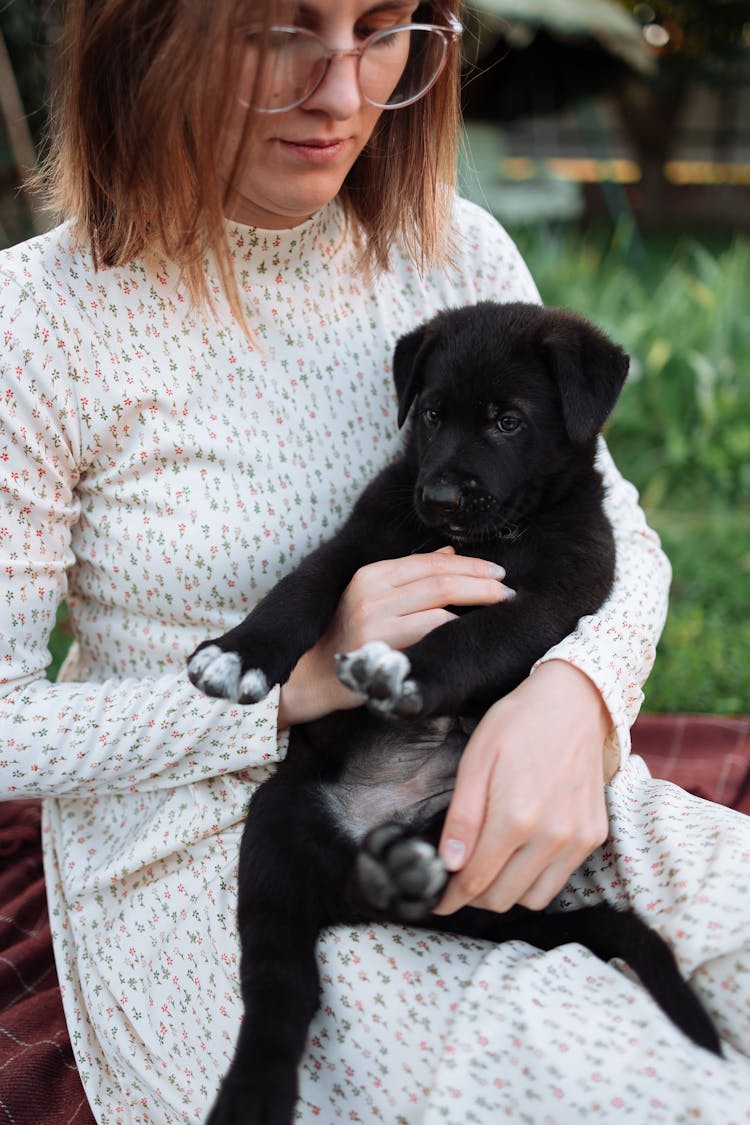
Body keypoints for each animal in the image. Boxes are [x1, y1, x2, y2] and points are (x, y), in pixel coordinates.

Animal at [187, 301, 719, 1125]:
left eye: (508, 421)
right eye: (432, 413)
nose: (438, 496)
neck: (476, 537)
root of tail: (364, 843)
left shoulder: (553, 597)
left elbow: (472, 634)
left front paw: (406, 669)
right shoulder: (363, 541)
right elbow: (301, 589)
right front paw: (240, 653)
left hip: (475, 814)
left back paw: (402, 873)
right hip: (277, 825)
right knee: (282, 991)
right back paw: (256, 1088)